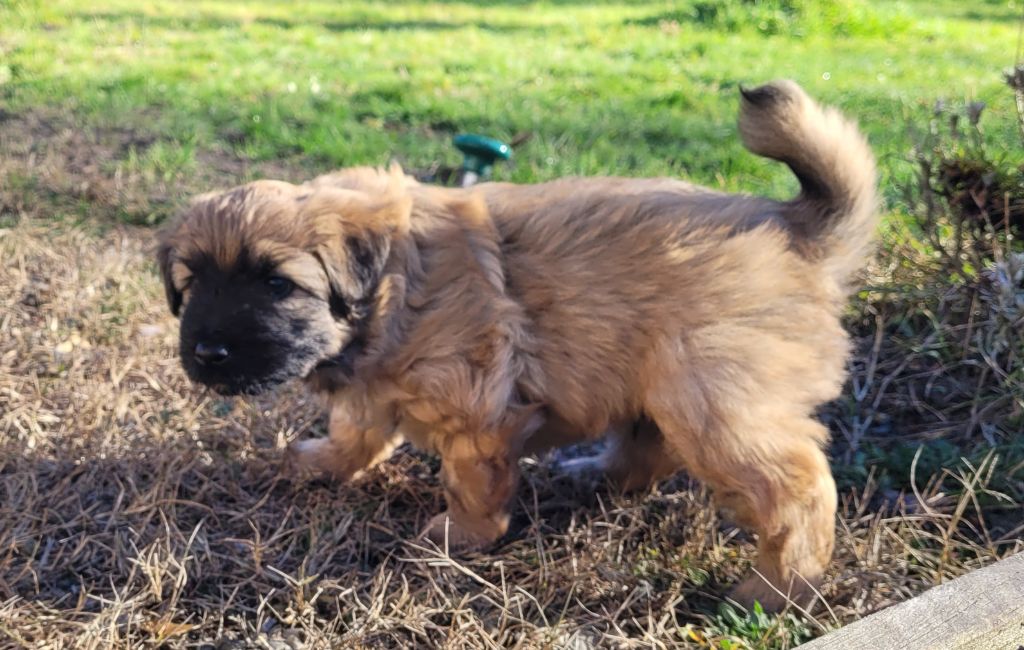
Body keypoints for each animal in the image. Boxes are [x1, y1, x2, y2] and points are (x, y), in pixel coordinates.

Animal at [156, 80, 877, 610]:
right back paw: (594, 474)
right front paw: (324, 462)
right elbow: (358, 430)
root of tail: (795, 227)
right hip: (666, 381)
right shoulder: (372, 389)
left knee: (798, 490)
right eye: (191, 285)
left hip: (714, 400)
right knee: (649, 447)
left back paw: (777, 589)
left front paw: (460, 538)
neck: (395, 283)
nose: (208, 354)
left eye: (277, 285)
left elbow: (472, 480)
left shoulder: (477, 404)